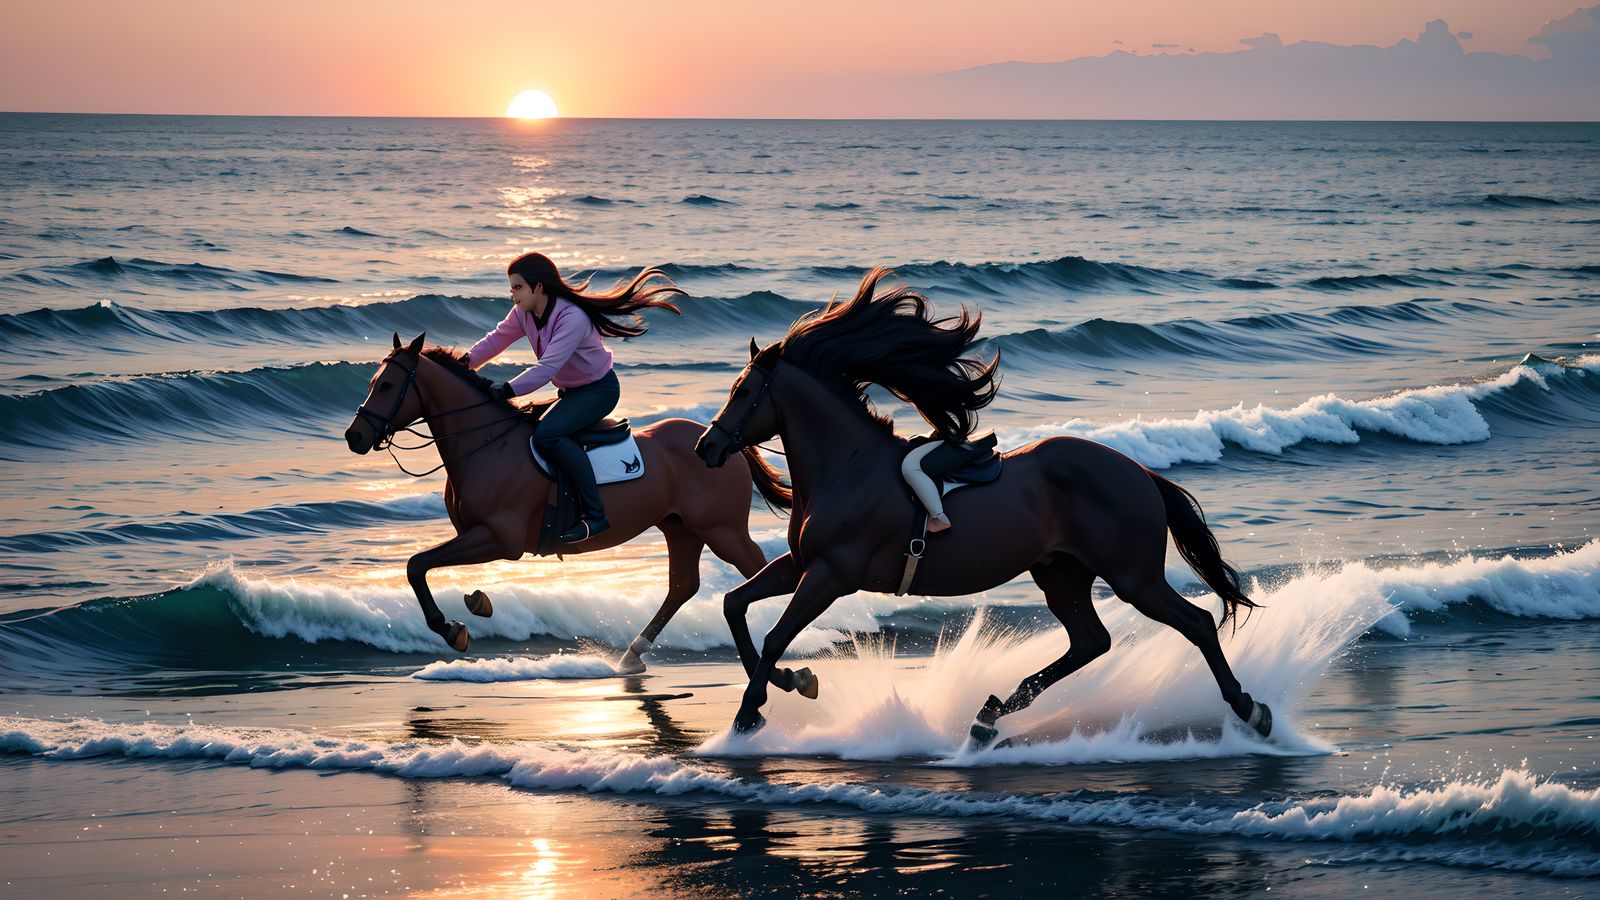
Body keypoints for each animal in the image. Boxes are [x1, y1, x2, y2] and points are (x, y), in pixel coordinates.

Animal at [350, 331, 800, 679]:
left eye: (386, 386)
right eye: (371, 381)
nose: (354, 436)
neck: (486, 444)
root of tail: (722, 443)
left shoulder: (501, 538)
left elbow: (417, 564)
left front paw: (450, 628)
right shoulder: (474, 535)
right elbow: (421, 566)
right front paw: (474, 605)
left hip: (722, 531)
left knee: (760, 571)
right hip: (679, 527)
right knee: (683, 586)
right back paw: (633, 653)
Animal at [694, 267, 1267, 743]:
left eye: (742, 391)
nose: (707, 447)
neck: (847, 466)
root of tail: (1140, 473)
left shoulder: (832, 573)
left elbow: (774, 636)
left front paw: (749, 713)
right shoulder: (802, 564)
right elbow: (735, 606)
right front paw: (792, 681)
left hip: (1132, 576)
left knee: (1194, 623)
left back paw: (1251, 710)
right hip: (1061, 572)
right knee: (1090, 641)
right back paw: (990, 714)